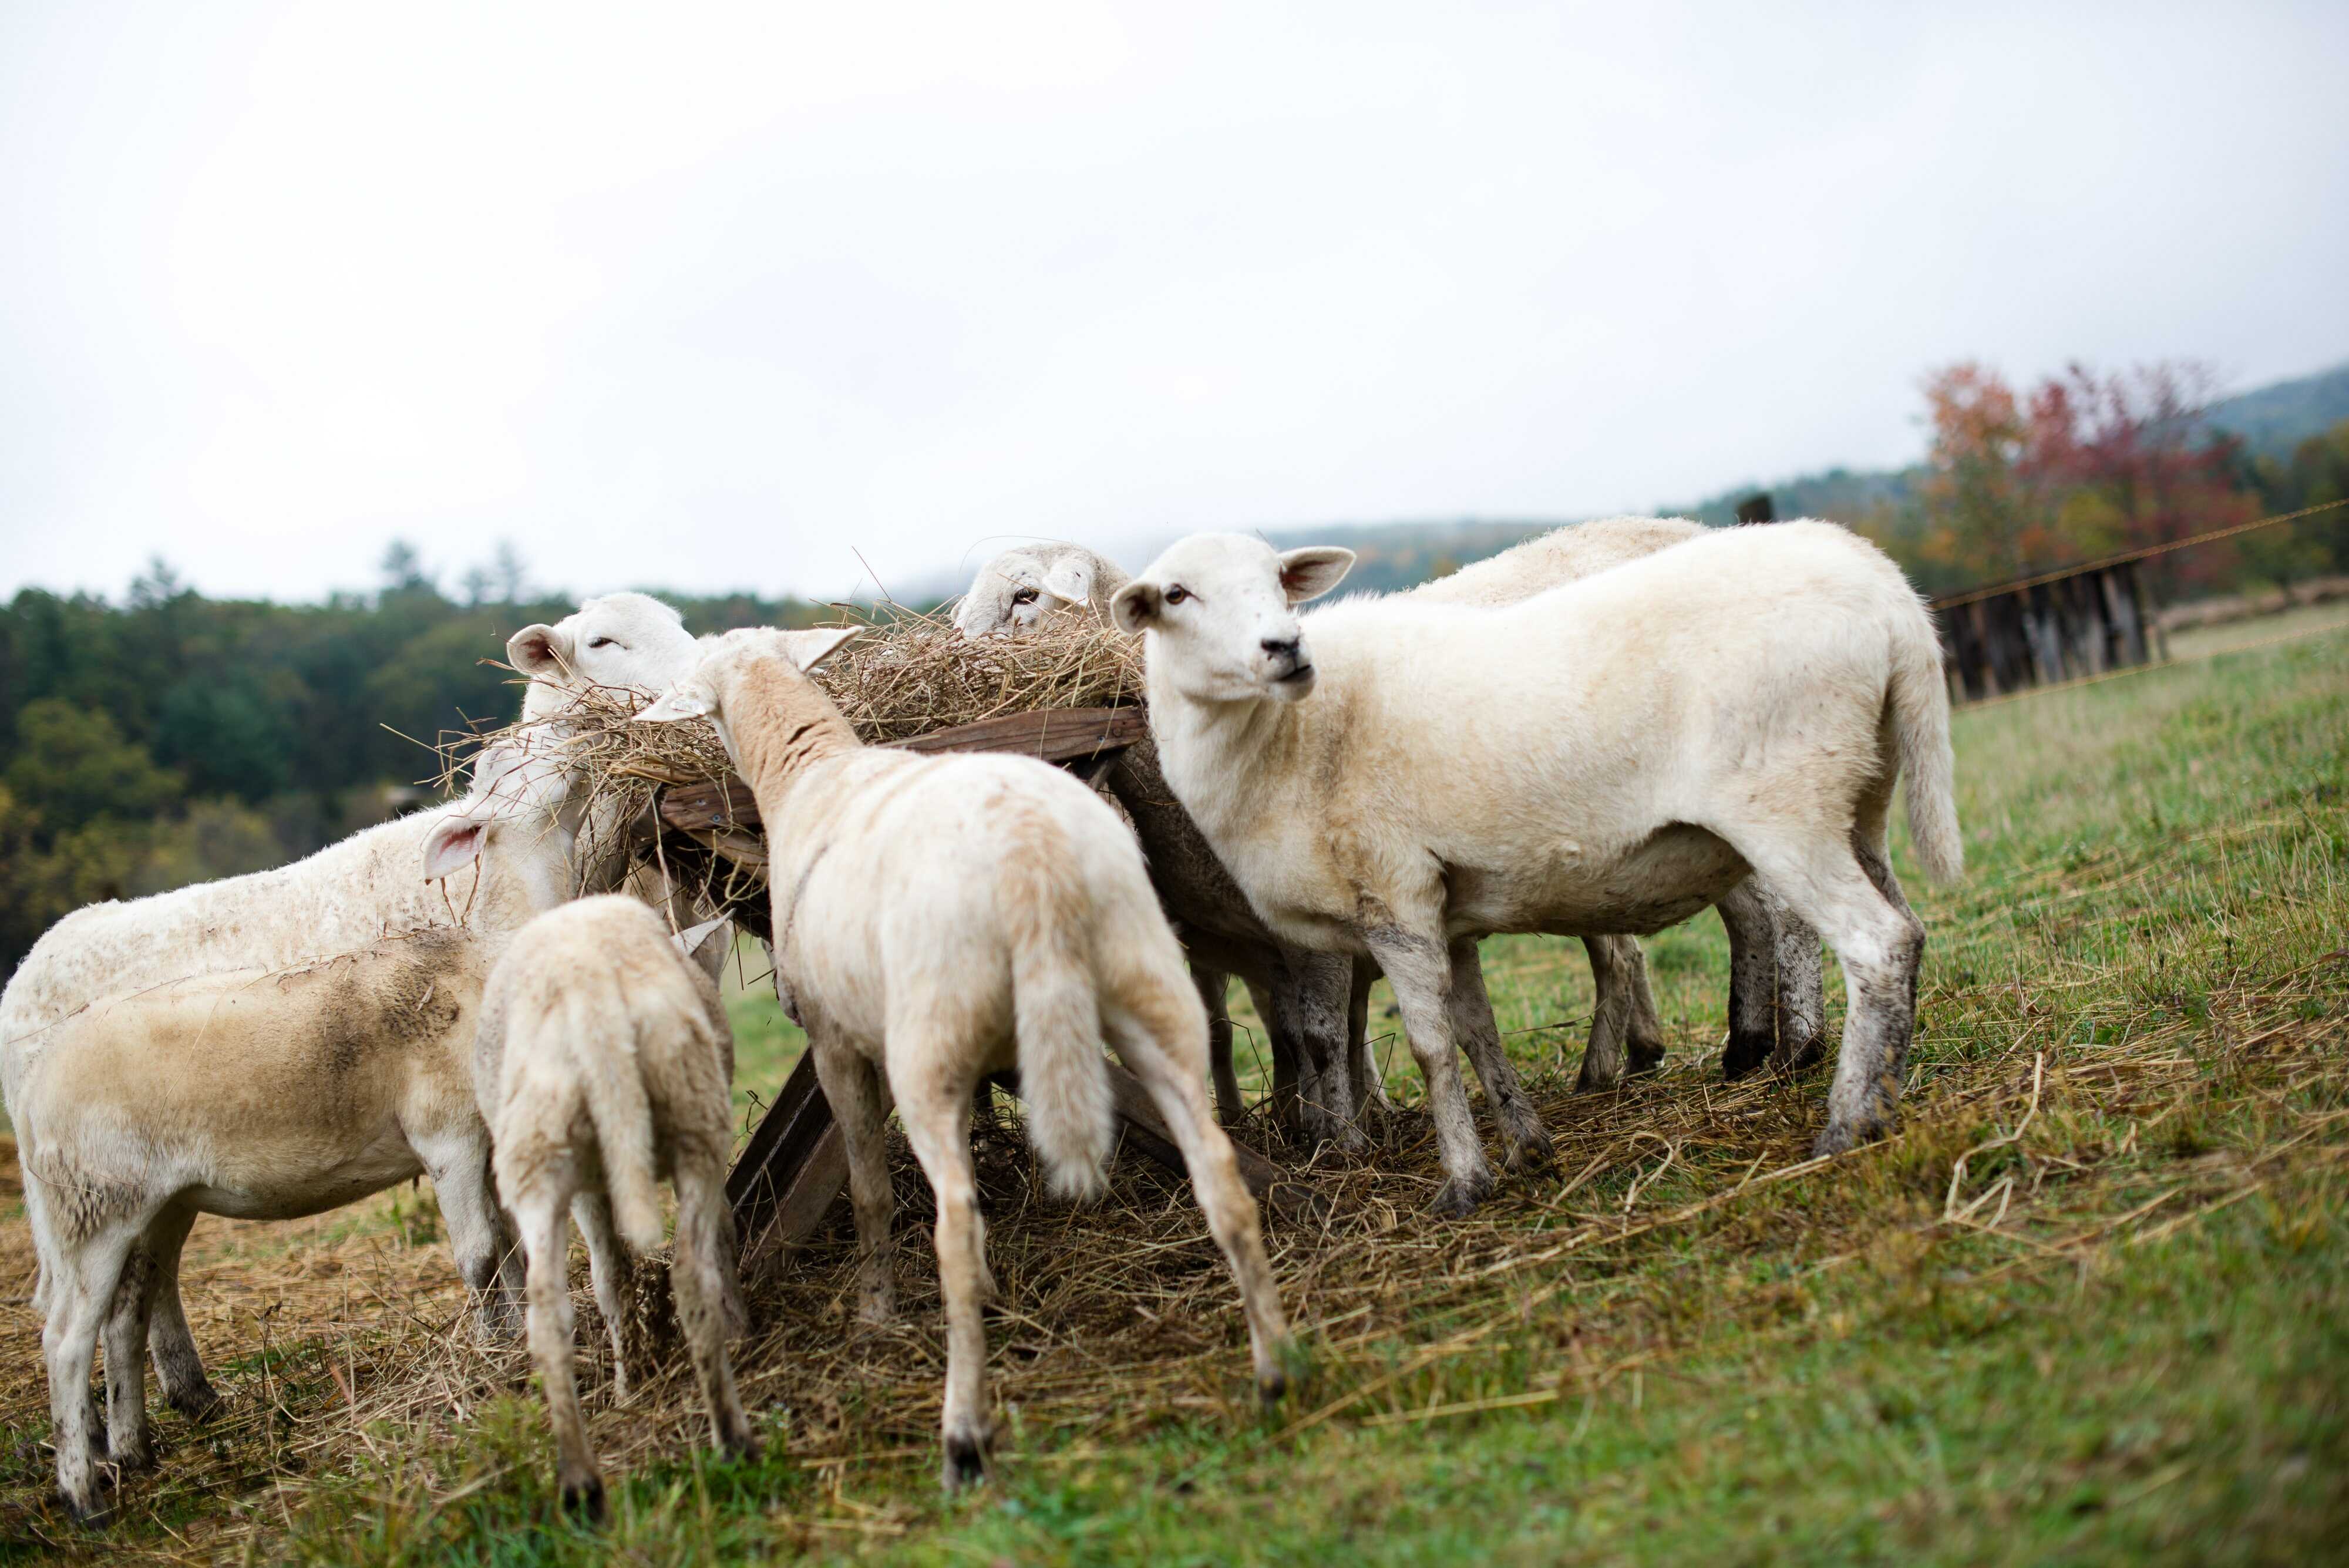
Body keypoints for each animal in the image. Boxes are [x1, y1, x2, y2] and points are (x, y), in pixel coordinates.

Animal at [465, 891, 742, 1521]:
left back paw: (581, 1483)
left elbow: (612, 1276)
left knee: (551, 1311)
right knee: (689, 1273)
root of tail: (591, 996)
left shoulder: (591, 1184)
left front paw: (625, 1385)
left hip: (541, 1152)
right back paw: (732, 1439)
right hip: (693, 1119)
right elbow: (722, 1233)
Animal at [644, 624, 1306, 1483]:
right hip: (1147, 991)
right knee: (1221, 1177)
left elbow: (870, 1191)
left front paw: (876, 1310)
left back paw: (963, 1430)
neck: (809, 772)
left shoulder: (836, 1042)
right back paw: (1275, 1369)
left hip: (930, 1040)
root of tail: (1034, 856)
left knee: (952, 1225)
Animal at [1109, 526, 1954, 1211]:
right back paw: (1871, 1088)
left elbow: (1422, 1047)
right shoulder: (1443, 909)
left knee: (1870, 942)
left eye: (1280, 580)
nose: (1285, 647)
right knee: (1905, 929)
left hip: (1785, 801)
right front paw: (1526, 1145)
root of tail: (1886, 589)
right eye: (1177, 594)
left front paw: (1460, 1180)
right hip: (1859, 795)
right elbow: (1476, 1032)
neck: (1289, 736)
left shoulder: (1392, 896)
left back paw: (1840, 1116)